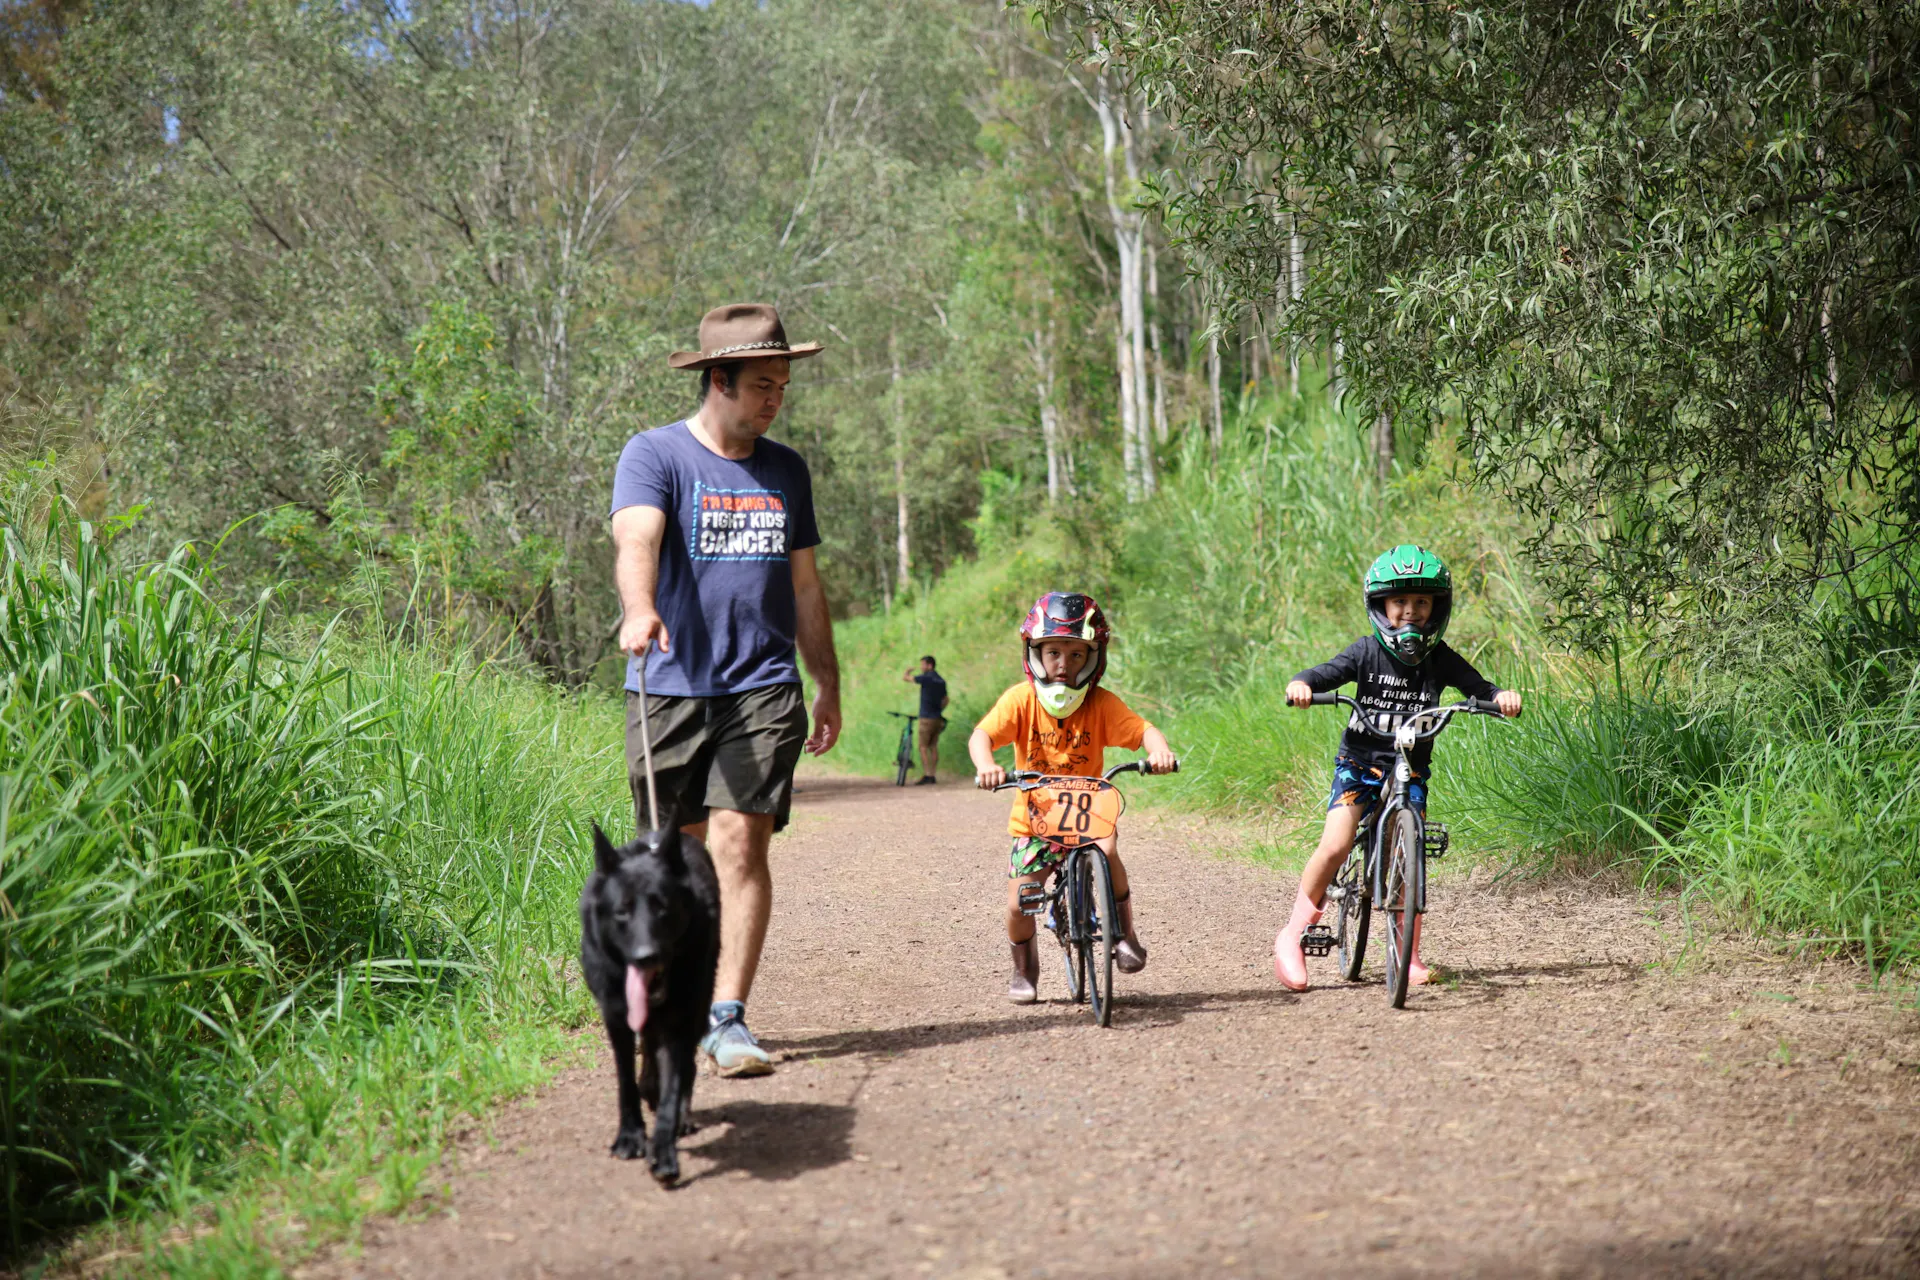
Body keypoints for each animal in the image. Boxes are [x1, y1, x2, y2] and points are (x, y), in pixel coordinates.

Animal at [576, 821, 721, 1182]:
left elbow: (672, 1087)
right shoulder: (616, 1018)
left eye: (663, 908)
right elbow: (625, 1080)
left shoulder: (680, 1021)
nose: (646, 956)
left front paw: (664, 1152)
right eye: (622, 912)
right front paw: (630, 1137)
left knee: (685, 1067)